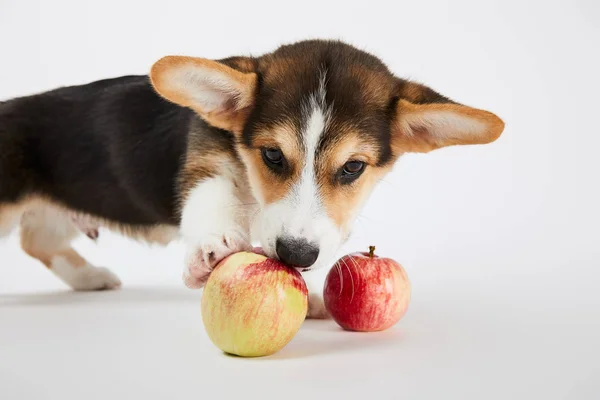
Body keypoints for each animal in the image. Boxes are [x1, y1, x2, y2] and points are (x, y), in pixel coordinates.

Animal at [0, 40, 504, 316]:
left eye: (353, 167)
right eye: (272, 156)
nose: (296, 256)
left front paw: (316, 295)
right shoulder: (208, 162)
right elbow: (211, 200)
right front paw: (213, 249)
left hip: (56, 211)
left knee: (37, 239)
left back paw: (90, 277)